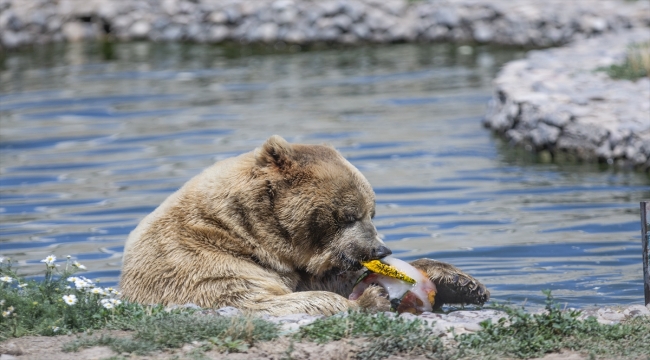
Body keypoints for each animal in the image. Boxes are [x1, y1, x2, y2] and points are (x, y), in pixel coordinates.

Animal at [120, 135, 486, 316]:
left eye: (373, 211)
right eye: (349, 214)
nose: (380, 248)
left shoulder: (304, 267)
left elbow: (331, 279)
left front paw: (461, 282)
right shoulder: (197, 264)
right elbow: (257, 300)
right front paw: (372, 298)